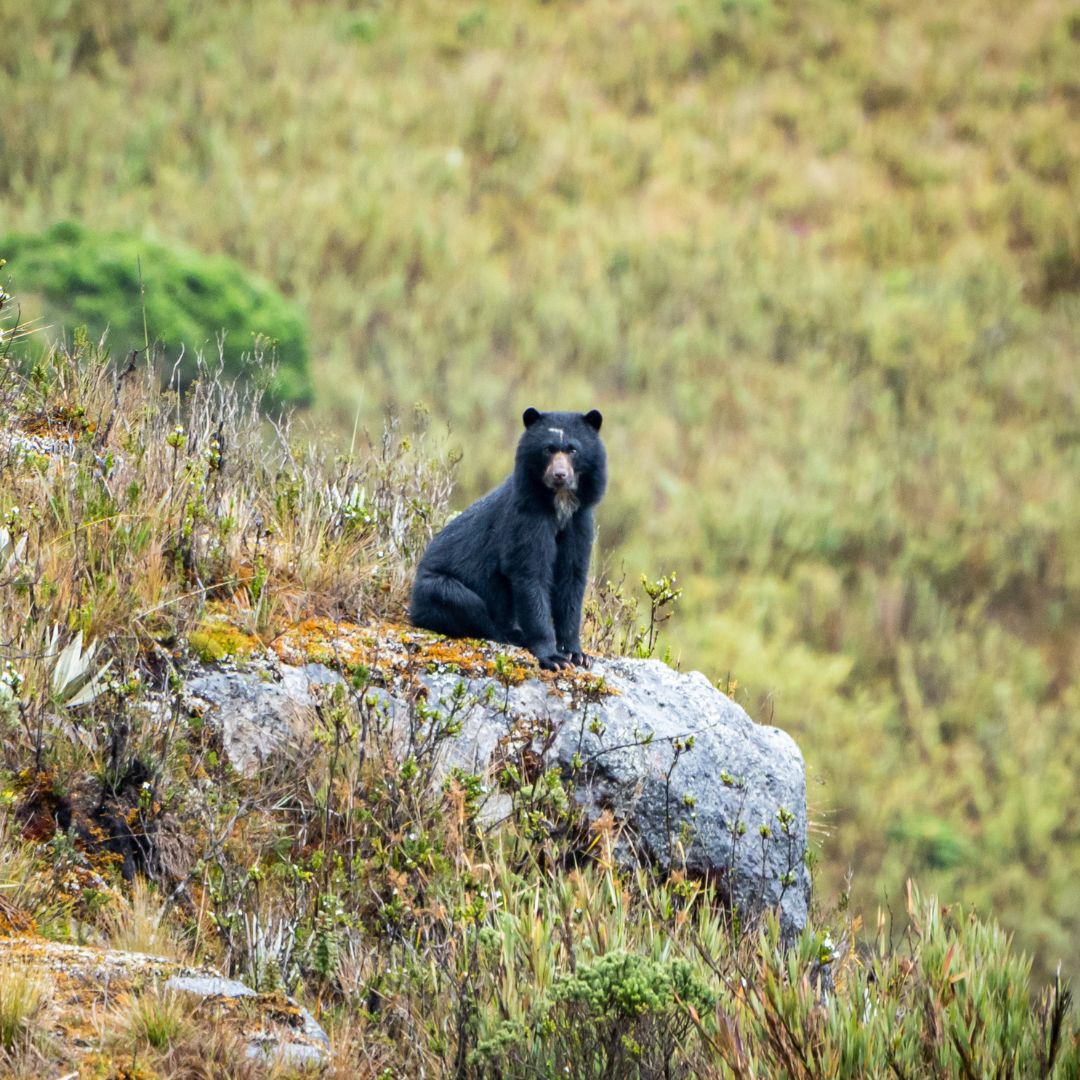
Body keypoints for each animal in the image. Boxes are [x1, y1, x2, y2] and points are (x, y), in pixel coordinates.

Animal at [406, 408, 609, 669]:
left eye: (573, 450)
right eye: (548, 449)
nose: (560, 475)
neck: (560, 505)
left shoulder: (579, 522)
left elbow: (572, 578)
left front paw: (577, 654)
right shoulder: (526, 519)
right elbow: (530, 574)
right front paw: (553, 657)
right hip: (434, 589)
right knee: (464, 602)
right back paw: (511, 634)